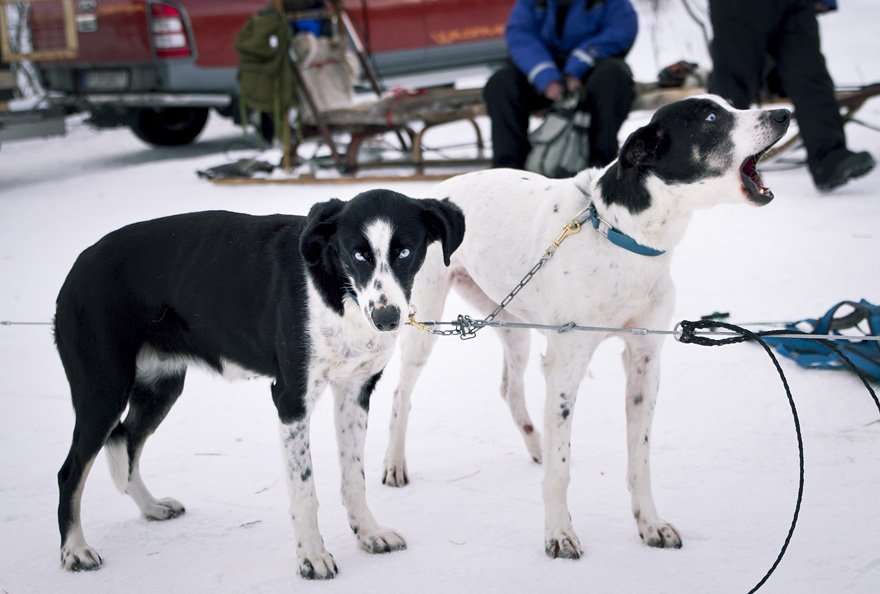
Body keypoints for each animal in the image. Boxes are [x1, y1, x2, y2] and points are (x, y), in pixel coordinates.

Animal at [53, 187, 468, 576]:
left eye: (405, 251)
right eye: (358, 254)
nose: (385, 318)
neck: (336, 293)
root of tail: (79, 264)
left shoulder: (355, 391)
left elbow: (354, 478)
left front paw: (368, 533)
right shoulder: (291, 400)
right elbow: (304, 489)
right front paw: (312, 557)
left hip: (161, 387)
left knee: (126, 440)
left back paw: (151, 507)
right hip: (102, 391)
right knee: (71, 472)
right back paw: (75, 549)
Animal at [384, 96, 792, 556]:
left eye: (728, 105)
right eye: (710, 118)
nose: (783, 113)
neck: (619, 235)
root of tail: (433, 198)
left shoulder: (644, 362)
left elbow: (639, 459)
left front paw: (649, 523)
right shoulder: (565, 366)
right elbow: (561, 471)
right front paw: (559, 533)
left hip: (512, 322)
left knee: (511, 388)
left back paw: (537, 444)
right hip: (425, 325)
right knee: (401, 393)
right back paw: (394, 463)